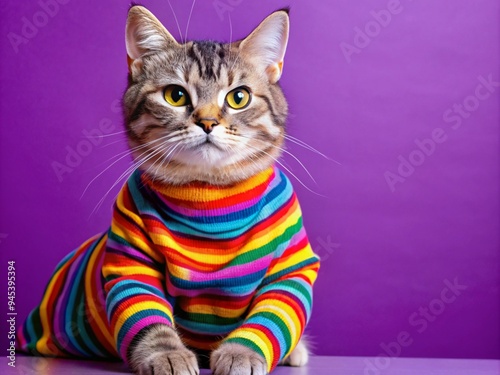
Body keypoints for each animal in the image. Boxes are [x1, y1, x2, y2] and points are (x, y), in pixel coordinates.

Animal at [18, 5, 320, 375]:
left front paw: (243, 353)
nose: (207, 122)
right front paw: (166, 355)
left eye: (239, 97)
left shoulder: (291, 267)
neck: (210, 198)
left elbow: (272, 315)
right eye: (175, 95)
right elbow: (148, 318)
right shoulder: (130, 260)